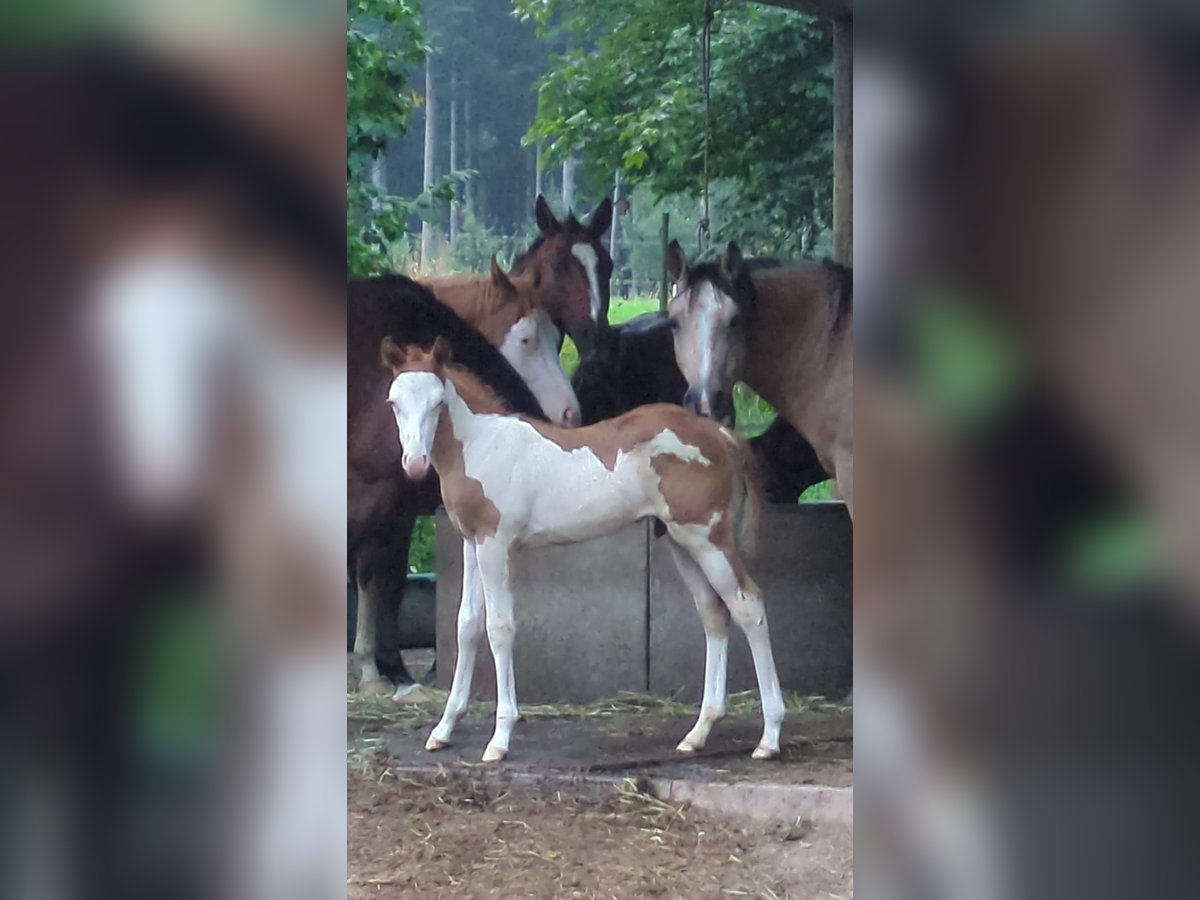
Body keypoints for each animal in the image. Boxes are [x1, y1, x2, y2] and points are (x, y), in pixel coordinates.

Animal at [379, 336, 782, 763]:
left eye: (438, 402)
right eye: (394, 402)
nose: (415, 463)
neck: (481, 444)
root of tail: (721, 434)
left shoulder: (496, 543)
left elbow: (499, 628)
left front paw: (500, 738)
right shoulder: (472, 543)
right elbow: (467, 625)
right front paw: (443, 729)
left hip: (709, 539)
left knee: (748, 605)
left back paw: (770, 736)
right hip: (682, 542)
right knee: (713, 613)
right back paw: (699, 733)